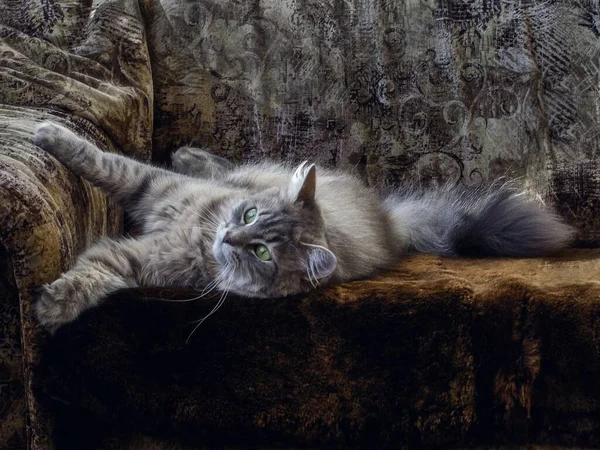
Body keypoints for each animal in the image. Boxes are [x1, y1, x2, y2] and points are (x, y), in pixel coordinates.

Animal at [31, 121, 572, 332]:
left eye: (262, 253)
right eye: (248, 216)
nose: (229, 237)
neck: (200, 231)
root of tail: (389, 222)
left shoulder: (142, 259)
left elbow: (94, 271)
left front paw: (54, 305)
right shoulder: (151, 186)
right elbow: (100, 159)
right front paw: (48, 134)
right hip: (243, 171)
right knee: (222, 166)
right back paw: (188, 152)